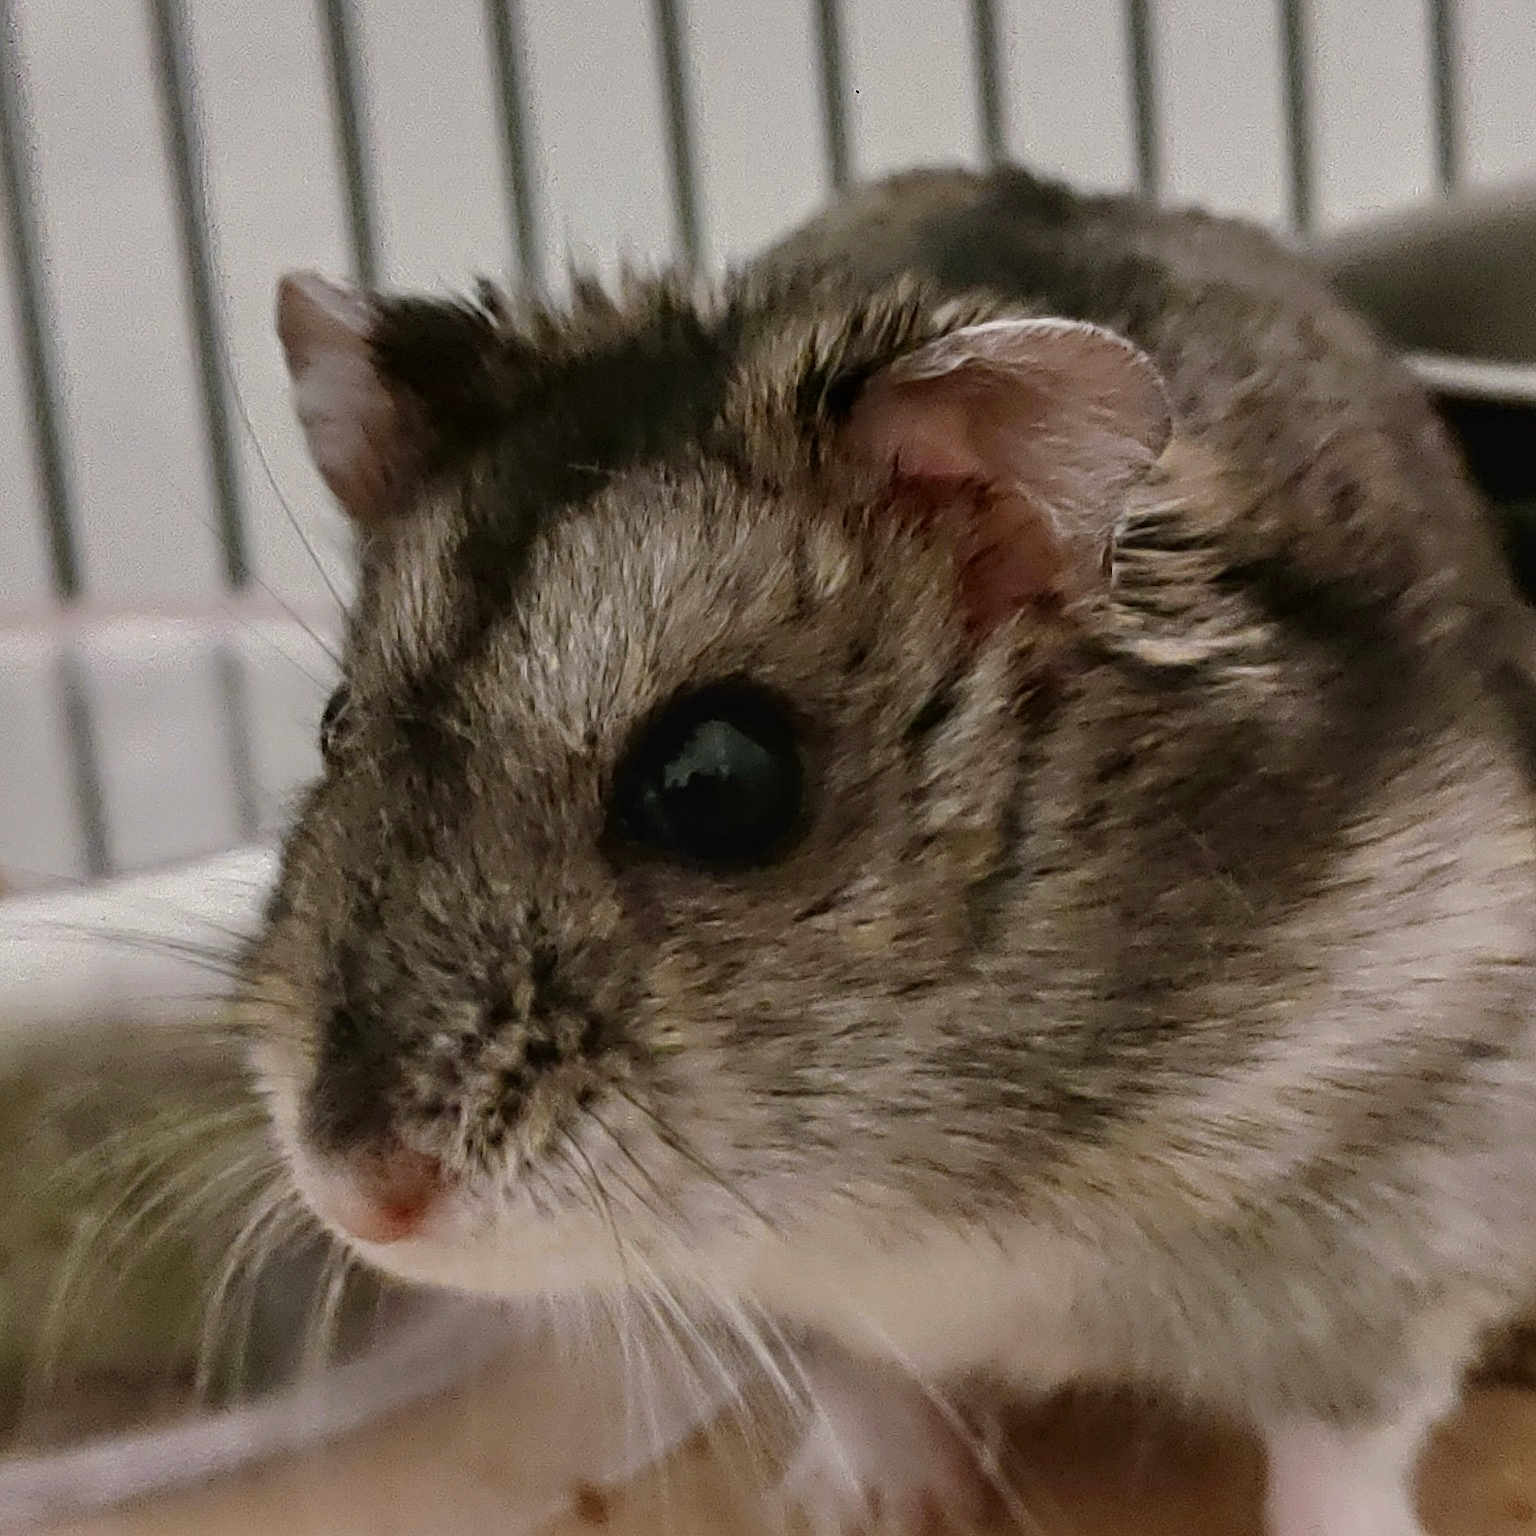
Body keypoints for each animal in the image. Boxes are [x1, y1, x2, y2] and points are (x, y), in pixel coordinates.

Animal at [241, 164, 1536, 1536]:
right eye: (333, 726)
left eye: (718, 783)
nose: (357, 1195)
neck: (892, 1166)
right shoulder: (796, 1302)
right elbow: (865, 1387)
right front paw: (864, 1508)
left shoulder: (1406, 1217)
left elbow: (1344, 1446)